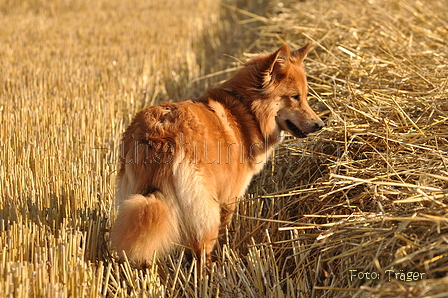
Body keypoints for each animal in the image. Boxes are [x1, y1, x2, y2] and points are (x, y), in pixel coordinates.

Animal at [110, 42, 324, 266]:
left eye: (305, 96)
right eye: (295, 97)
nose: (320, 124)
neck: (245, 110)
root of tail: (159, 135)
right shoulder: (230, 197)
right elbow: (225, 229)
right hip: (203, 206)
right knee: (201, 247)